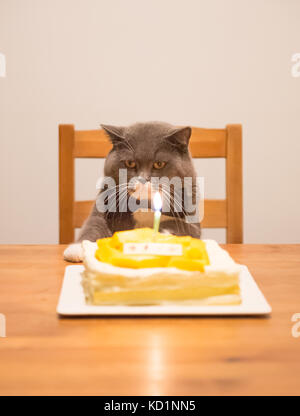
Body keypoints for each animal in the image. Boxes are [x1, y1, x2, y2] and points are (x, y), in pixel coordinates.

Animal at [63, 122, 200, 262]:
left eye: (159, 164)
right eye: (130, 163)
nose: (143, 179)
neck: (144, 204)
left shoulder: (192, 218)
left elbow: (186, 228)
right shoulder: (103, 203)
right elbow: (93, 224)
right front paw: (76, 249)